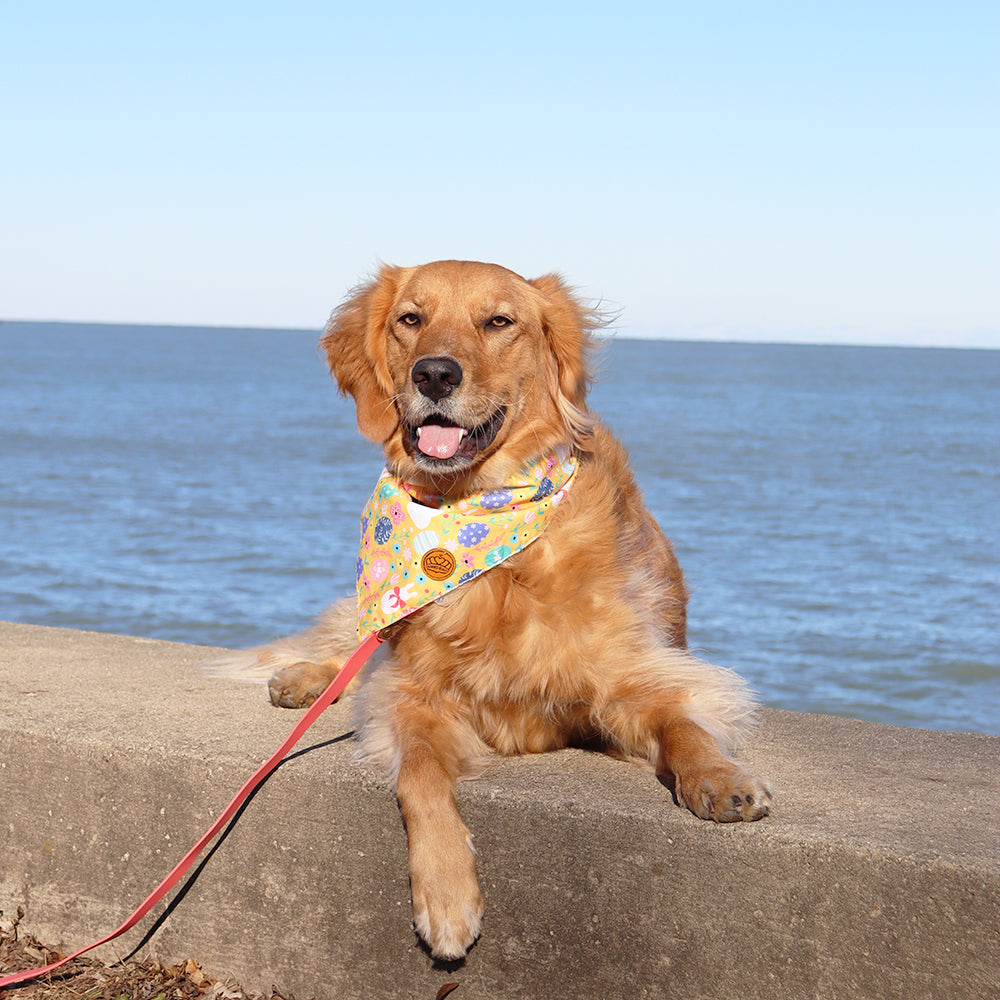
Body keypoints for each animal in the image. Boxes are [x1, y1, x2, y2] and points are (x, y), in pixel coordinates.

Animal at [246, 260, 768, 960]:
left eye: (499, 321)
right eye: (410, 318)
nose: (435, 374)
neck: (478, 516)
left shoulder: (630, 681)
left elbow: (683, 722)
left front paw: (718, 777)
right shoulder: (413, 692)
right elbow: (420, 774)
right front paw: (446, 895)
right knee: (354, 650)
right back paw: (306, 678)